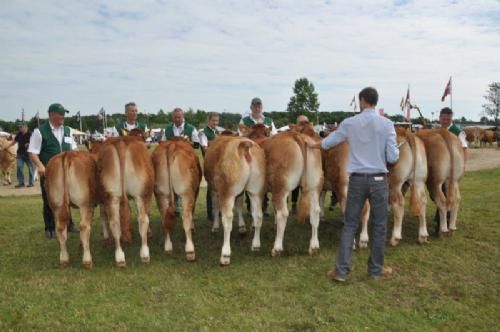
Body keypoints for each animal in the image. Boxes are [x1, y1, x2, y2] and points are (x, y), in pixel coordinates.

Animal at [96, 136, 153, 266]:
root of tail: (121, 141)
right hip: (141, 193)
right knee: (143, 219)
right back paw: (145, 254)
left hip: (111, 195)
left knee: (114, 222)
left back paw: (120, 257)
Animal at [203, 135, 266, 264]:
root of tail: (245, 145)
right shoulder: (240, 192)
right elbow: (239, 205)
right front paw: (242, 227)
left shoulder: (213, 189)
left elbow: (216, 207)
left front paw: (215, 226)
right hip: (256, 190)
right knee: (258, 215)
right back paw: (256, 245)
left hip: (227, 192)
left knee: (227, 219)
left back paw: (225, 254)